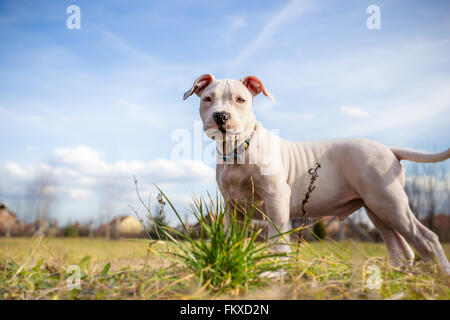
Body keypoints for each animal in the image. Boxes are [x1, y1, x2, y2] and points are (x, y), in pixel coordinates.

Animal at [183, 74, 450, 274]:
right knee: (400, 248)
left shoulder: (276, 199)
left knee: (427, 238)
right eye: (208, 99)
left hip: (391, 203)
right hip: (377, 208)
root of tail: (389, 149)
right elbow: (234, 240)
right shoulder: (233, 208)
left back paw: (440, 275)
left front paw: (274, 273)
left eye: (240, 99)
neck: (238, 150)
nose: (221, 116)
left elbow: (277, 242)